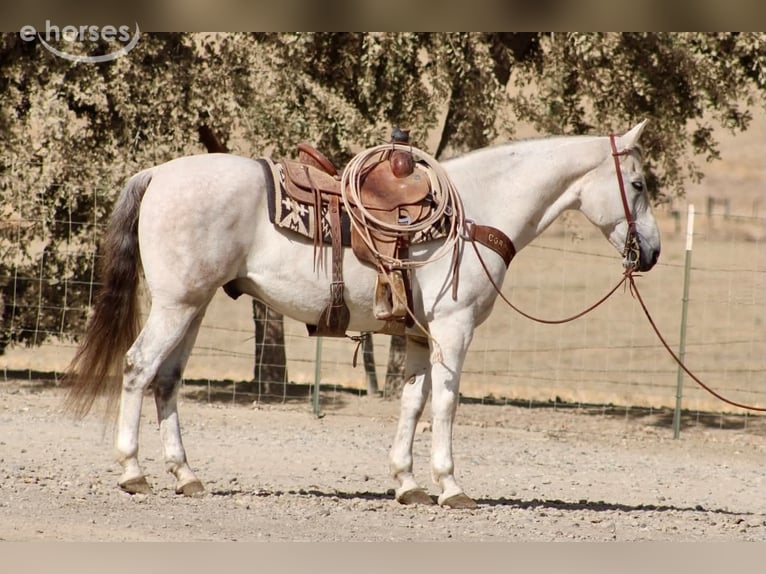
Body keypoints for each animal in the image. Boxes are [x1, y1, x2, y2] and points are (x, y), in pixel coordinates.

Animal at [64, 120, 660, 509]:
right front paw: (450, 487)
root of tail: (159, 174)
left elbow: (412, 402)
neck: (476, 210)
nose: (651, 252)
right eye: (637, 184)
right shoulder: (454, 329)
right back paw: (133, 471)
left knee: (167, 379)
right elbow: (445, 404)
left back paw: (186, 476)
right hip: (177, 304)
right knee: (139, 367)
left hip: (195, 304)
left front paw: (407, 484)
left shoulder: (420, 336)